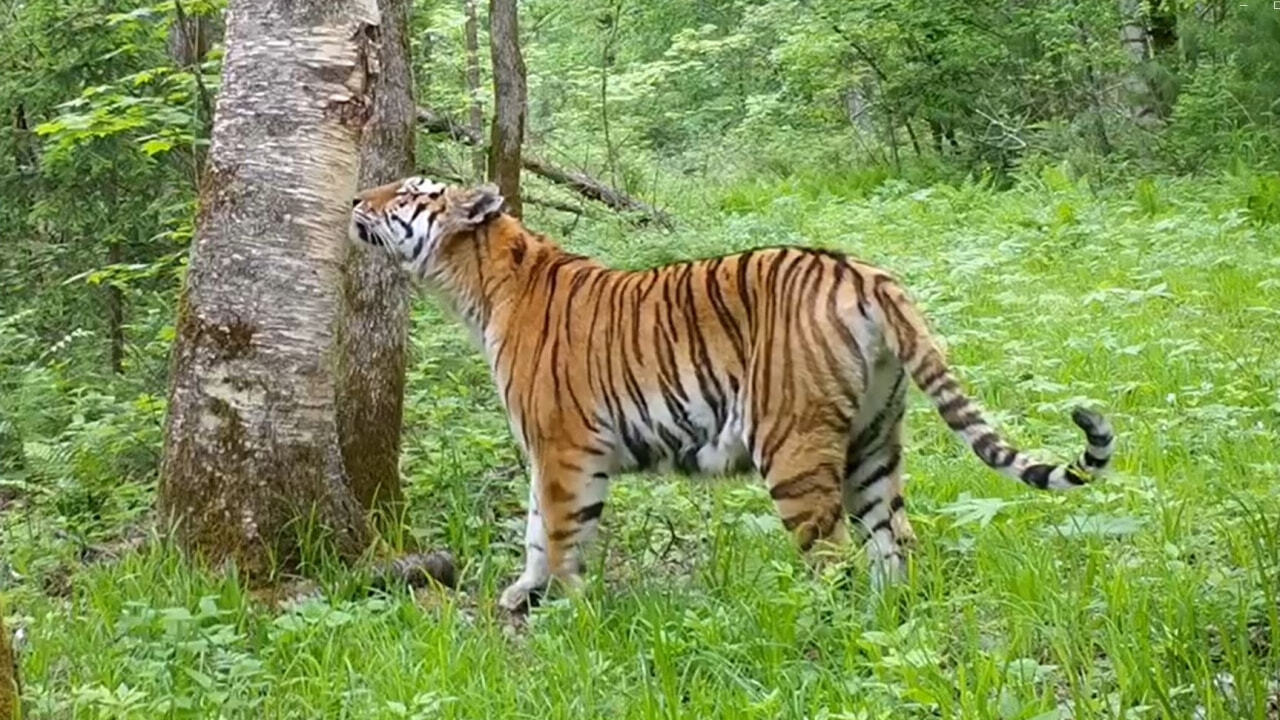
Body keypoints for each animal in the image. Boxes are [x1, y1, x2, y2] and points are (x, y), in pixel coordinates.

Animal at [348, 176, 1111, 607]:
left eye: (409, 192)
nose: (355, 199)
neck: (474, 285)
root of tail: (865, 272)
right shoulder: (545, 450)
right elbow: (536, 528)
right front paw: (523, 595)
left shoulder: (565, 446)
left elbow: (560, 533)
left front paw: (566, 611)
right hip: (873, 441)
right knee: (896, 544)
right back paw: (890, 627)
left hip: (794, 447)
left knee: (834, 559)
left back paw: (822, 631)